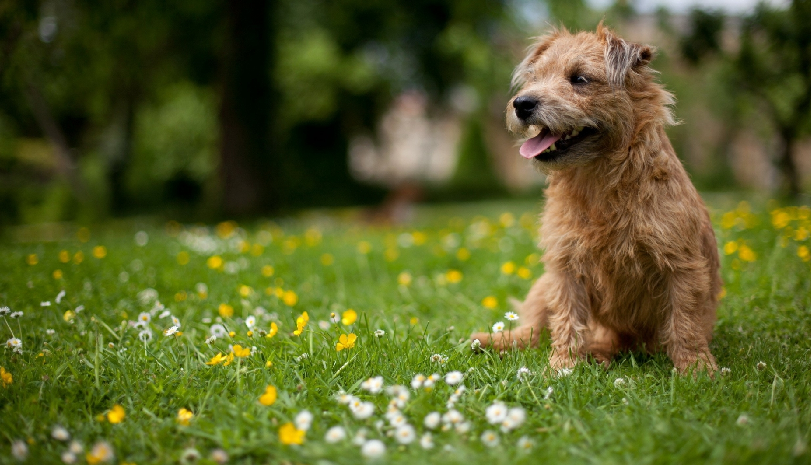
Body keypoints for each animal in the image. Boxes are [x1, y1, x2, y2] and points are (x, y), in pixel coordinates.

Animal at [470, 24, 724, 374]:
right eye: (534, 77)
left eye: (579, 79)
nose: (522, 103)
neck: (599, 184)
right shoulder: (565, 266)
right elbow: (566, 319)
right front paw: (561, 367)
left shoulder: (681, 264)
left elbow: (685, 320)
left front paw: (696, 368)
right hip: (543, 285)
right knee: (531, 330)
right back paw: (489, 341)